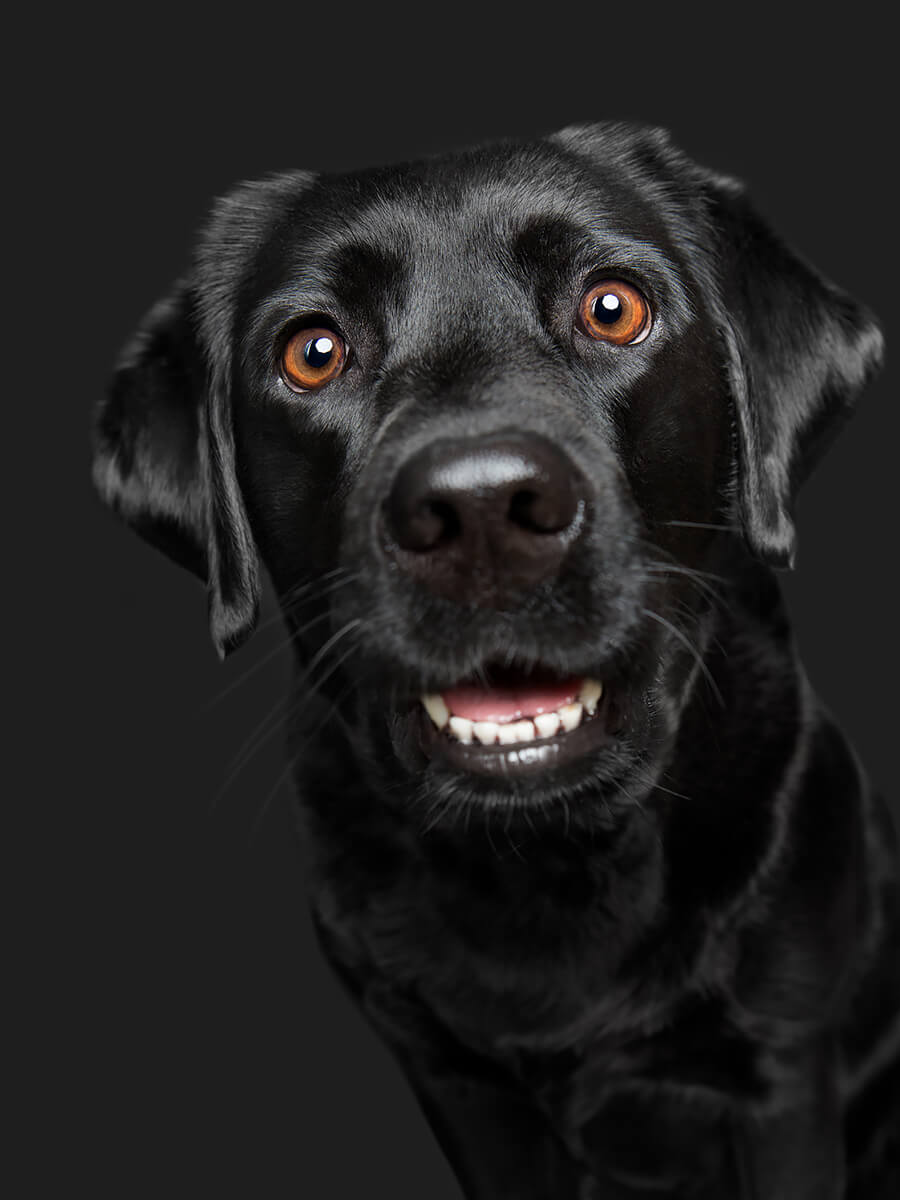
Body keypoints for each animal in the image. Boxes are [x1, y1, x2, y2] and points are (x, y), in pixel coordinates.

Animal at [93, 126, 900, 1195]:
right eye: (313, 352)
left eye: (614, 307)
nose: (480, 511)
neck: (551, 862)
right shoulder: (456, 1082)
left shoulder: (781, 1072)